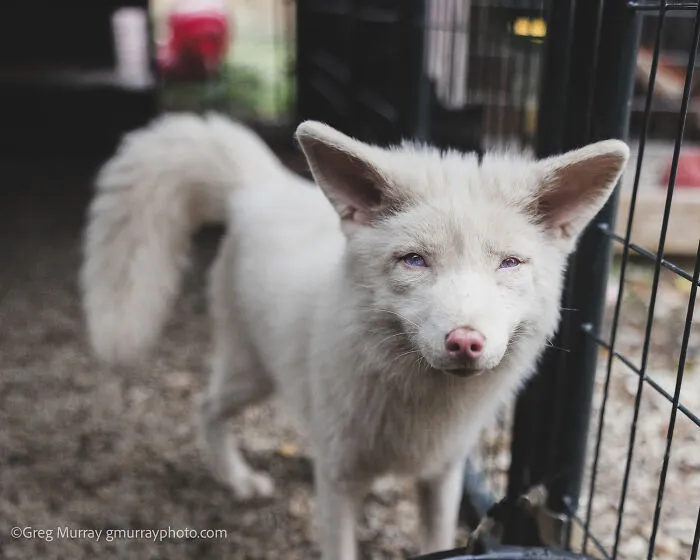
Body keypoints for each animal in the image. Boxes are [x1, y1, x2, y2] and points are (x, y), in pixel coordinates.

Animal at [80, 113, 628, 559]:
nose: (465, 342)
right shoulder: (338, 482)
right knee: (206, 406)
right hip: (250, 377)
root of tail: (262, 189)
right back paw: (237, 480)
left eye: (509, 263)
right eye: (414, 261)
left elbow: (435, 542)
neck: (420, 412)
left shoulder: (443, 475)